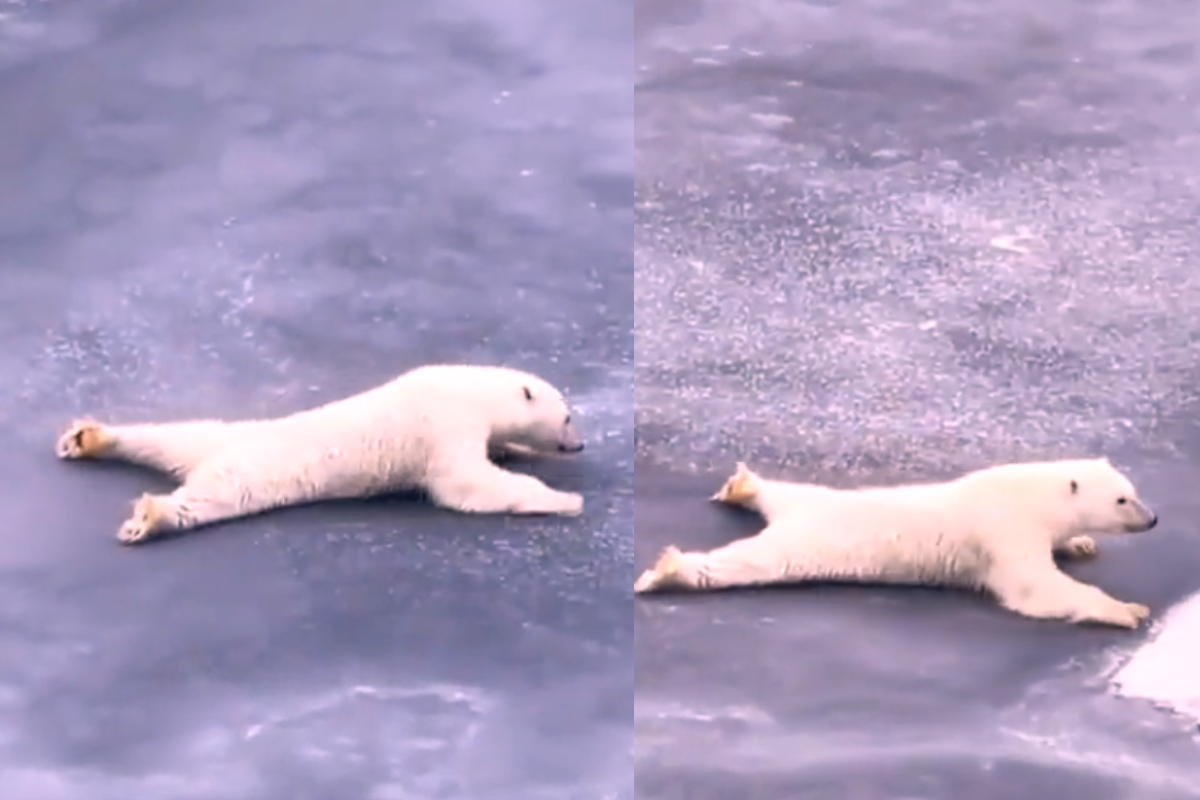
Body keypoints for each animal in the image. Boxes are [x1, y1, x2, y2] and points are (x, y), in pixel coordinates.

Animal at [56, 364, 586, 545]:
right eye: (566, 417)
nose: (578, 444)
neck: (469, 389)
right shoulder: (445, 425)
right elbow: (466, 483)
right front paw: (565, 499)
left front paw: (516, 450)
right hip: (250, 470)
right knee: (210, 498)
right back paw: (150, 518)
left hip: (209, 437)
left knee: (166, 435)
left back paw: (89, 437)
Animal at [634, 458, 1159, 629]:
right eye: (1122, 498)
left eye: (1133, 490)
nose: (1153, 518)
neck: (1027, 493)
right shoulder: (1004, 530)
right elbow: (1035, 590)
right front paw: (1128, 610)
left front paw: (1081, 543)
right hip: (804, 543)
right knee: (744, 563)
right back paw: (668, 570)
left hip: (813, 500)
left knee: (785, 490)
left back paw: (744, 486)